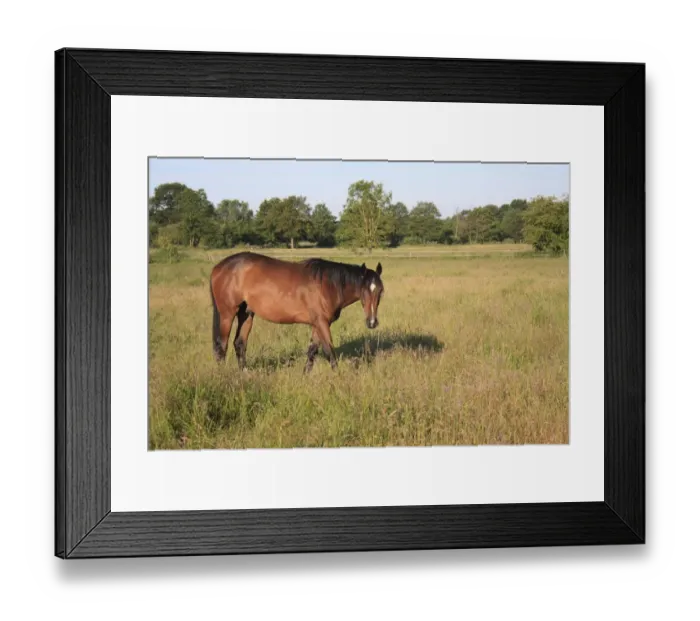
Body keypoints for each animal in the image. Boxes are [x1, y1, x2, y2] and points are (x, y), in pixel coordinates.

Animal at [209, 251, 385, 373]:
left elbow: (312, 351)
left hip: (246, 313)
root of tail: (218, 267)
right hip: (227, 314)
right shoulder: (322, 323)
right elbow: (330, 352)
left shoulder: (318, 324)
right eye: (364, 291)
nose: (372, 322)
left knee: (239, 343)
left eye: (380, 291)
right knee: (221, 346)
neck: (328, 285)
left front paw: (305, 375)